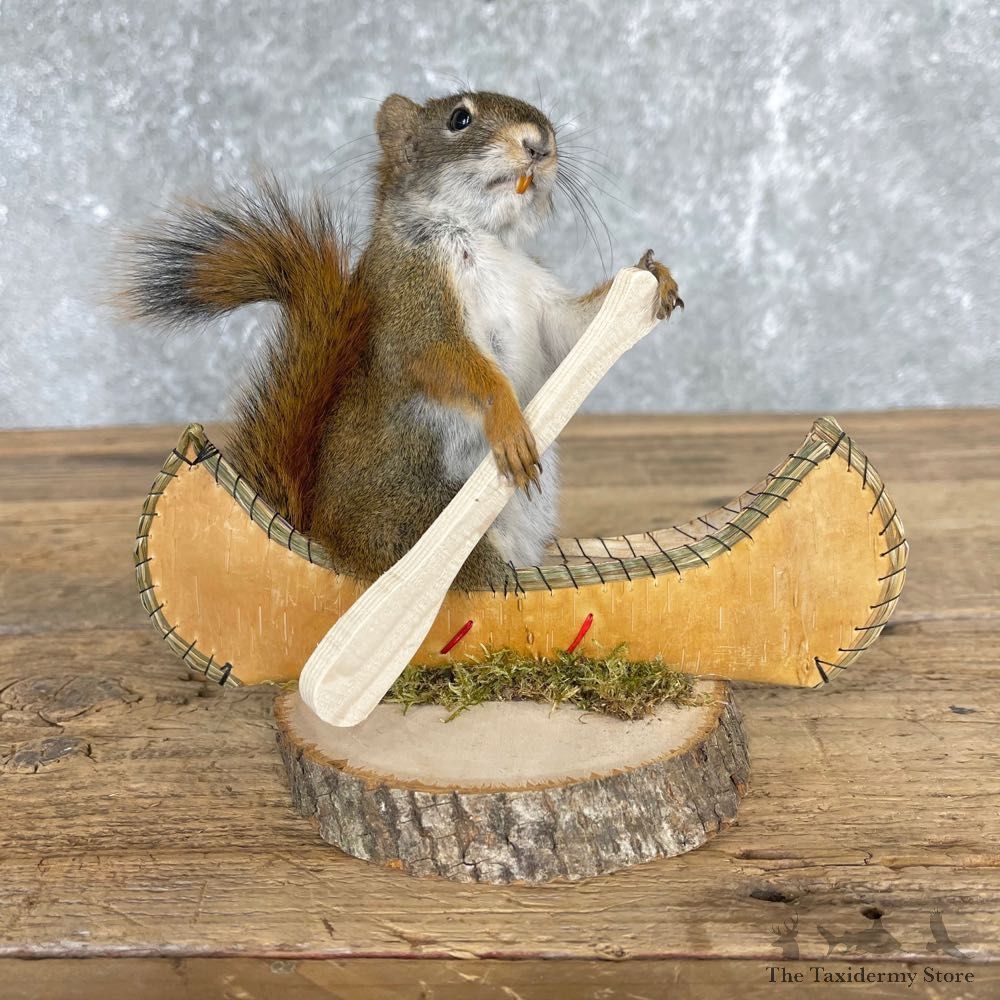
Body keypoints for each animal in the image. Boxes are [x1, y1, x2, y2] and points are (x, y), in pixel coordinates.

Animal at [124, 90, 681, 590]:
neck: (487, 238)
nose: (540, 144)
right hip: (415, 519)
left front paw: (654, 276)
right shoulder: (412, 298)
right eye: (459, 119)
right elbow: (437, 358)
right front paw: (507, 417)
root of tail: (326, 539)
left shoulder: (538, 300)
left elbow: (575, 331)